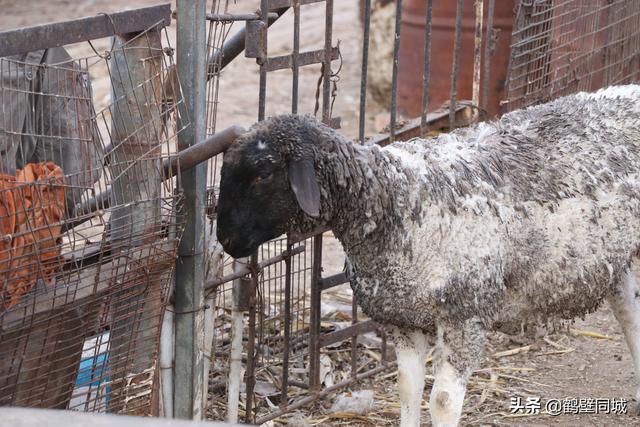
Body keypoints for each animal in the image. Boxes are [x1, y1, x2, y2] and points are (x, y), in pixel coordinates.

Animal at [216, 84, 640, 427]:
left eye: (262, 175)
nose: (226, 240)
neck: (395, 198)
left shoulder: (465, 314)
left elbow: (442, 401)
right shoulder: (403, 316)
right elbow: (409, 388)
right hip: (617, 255)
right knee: (630, 314)